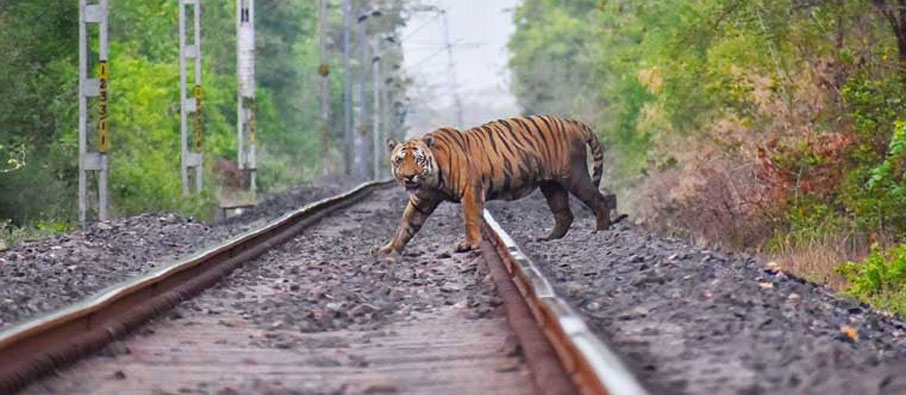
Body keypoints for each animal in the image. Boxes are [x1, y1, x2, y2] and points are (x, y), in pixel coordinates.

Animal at [370, 116, 616, 255]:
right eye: (399, 160)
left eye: (419, 160)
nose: (409, 177)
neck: (431, 178)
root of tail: (571, 122)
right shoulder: (422, 200)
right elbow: (406, 225)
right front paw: (388, 249)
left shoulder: (470, 190)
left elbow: (470, 218)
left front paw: (469, 244)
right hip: (551, 185)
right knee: (564, 213)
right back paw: (549, 238)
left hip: (573, 176)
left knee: (599, 199)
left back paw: (601, 230)